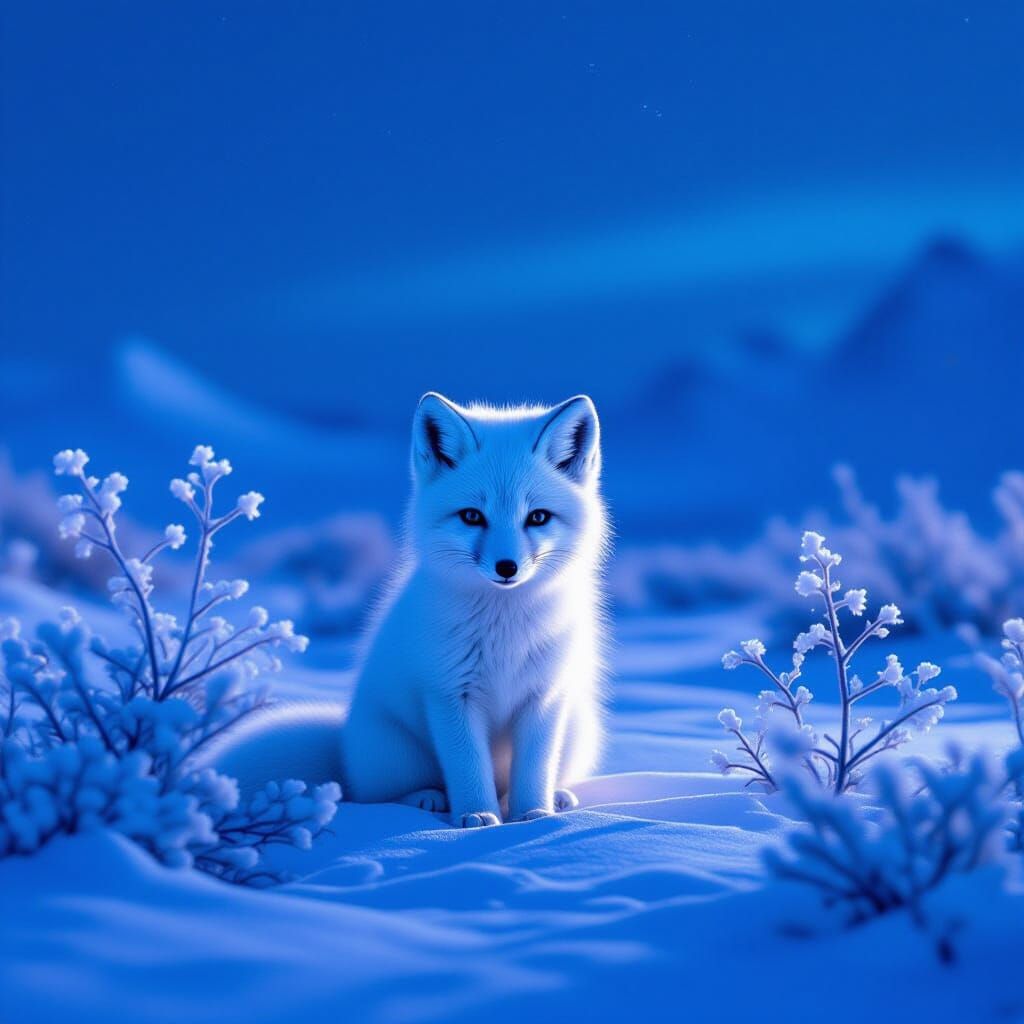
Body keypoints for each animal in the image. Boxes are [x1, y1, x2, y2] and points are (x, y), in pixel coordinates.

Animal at [211, 392, 609, 827]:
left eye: (537, 517)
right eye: (472, 516)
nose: (507, 568)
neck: (504, 626)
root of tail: (344, 745)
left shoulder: (545, 696)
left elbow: (534, 769)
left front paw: (533, 815)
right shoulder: (449, 695)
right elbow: (468, 769)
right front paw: (477, 816)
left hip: (577, 730)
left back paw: (556, 797)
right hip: (399, 753)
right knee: (378, 795)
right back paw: (428, 799)